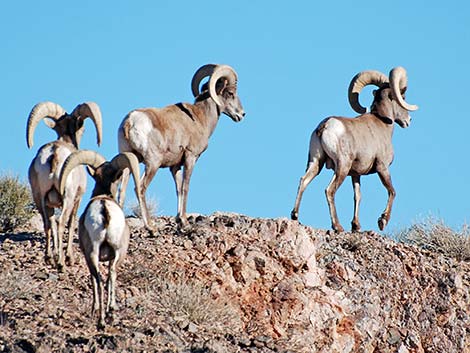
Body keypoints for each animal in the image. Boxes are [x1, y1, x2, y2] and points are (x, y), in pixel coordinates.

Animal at [26, 100, 102, 268]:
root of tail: (54, 153)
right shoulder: (77, 199)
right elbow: (71, 224)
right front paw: (69, 257)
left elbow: (52, 224)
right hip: (67, 197)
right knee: (61, 223)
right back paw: (61, 262)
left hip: (39, 197)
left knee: (48, 223)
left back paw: (48, 257)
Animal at [59, 148, 145, 328]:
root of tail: (104, 209)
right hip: (117, 252)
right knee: (111, 274)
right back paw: (110, 311)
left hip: (94, 253)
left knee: (99, 278)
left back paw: (102, 319)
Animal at [117, 63, 246, 227]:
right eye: (230, 93)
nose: (242, 114)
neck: (200, 118)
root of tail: (130, 121)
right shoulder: (190, 157)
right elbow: (185, 187)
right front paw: (184, 220)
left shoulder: (175, 166)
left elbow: (178, 188)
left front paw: (179, 218)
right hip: (153, 163)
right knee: (140, 187)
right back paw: (149, 225)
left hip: (128, 161)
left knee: (121, 191)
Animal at [290, 66, 418, 232]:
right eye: (402, 96)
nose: (408, 120)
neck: (382, 124)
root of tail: (325, 126)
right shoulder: (382, 167)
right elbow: (392, 191)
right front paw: (382, 221)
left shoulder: (356, 174)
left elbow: (358, 196)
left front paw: (356, 226)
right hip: (342, 167)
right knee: (329, 190)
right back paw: (337, 226)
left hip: (316, 162)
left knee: (303, 181)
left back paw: (295, 216)